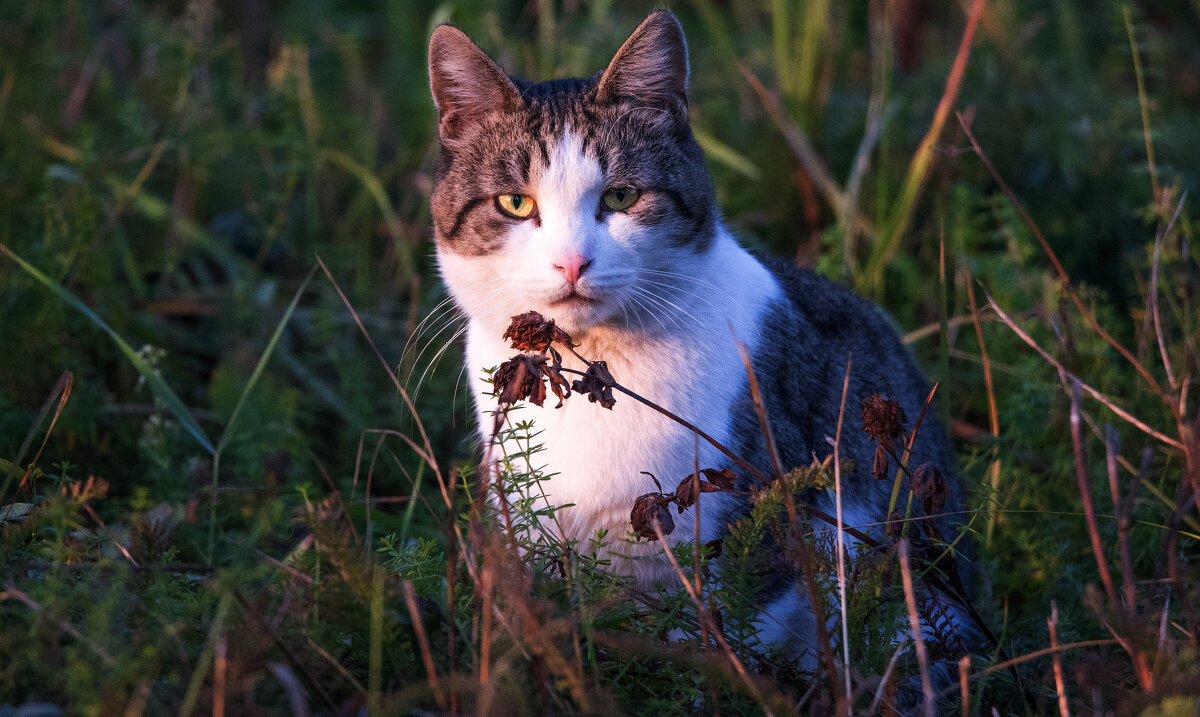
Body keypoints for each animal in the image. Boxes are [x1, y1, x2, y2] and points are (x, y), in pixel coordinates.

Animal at [427, 8, 969, 676]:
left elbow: (715, 645)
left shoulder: (761, 531)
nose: (572, 262)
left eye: (622, 196)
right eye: (513, 202)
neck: (595, 369)